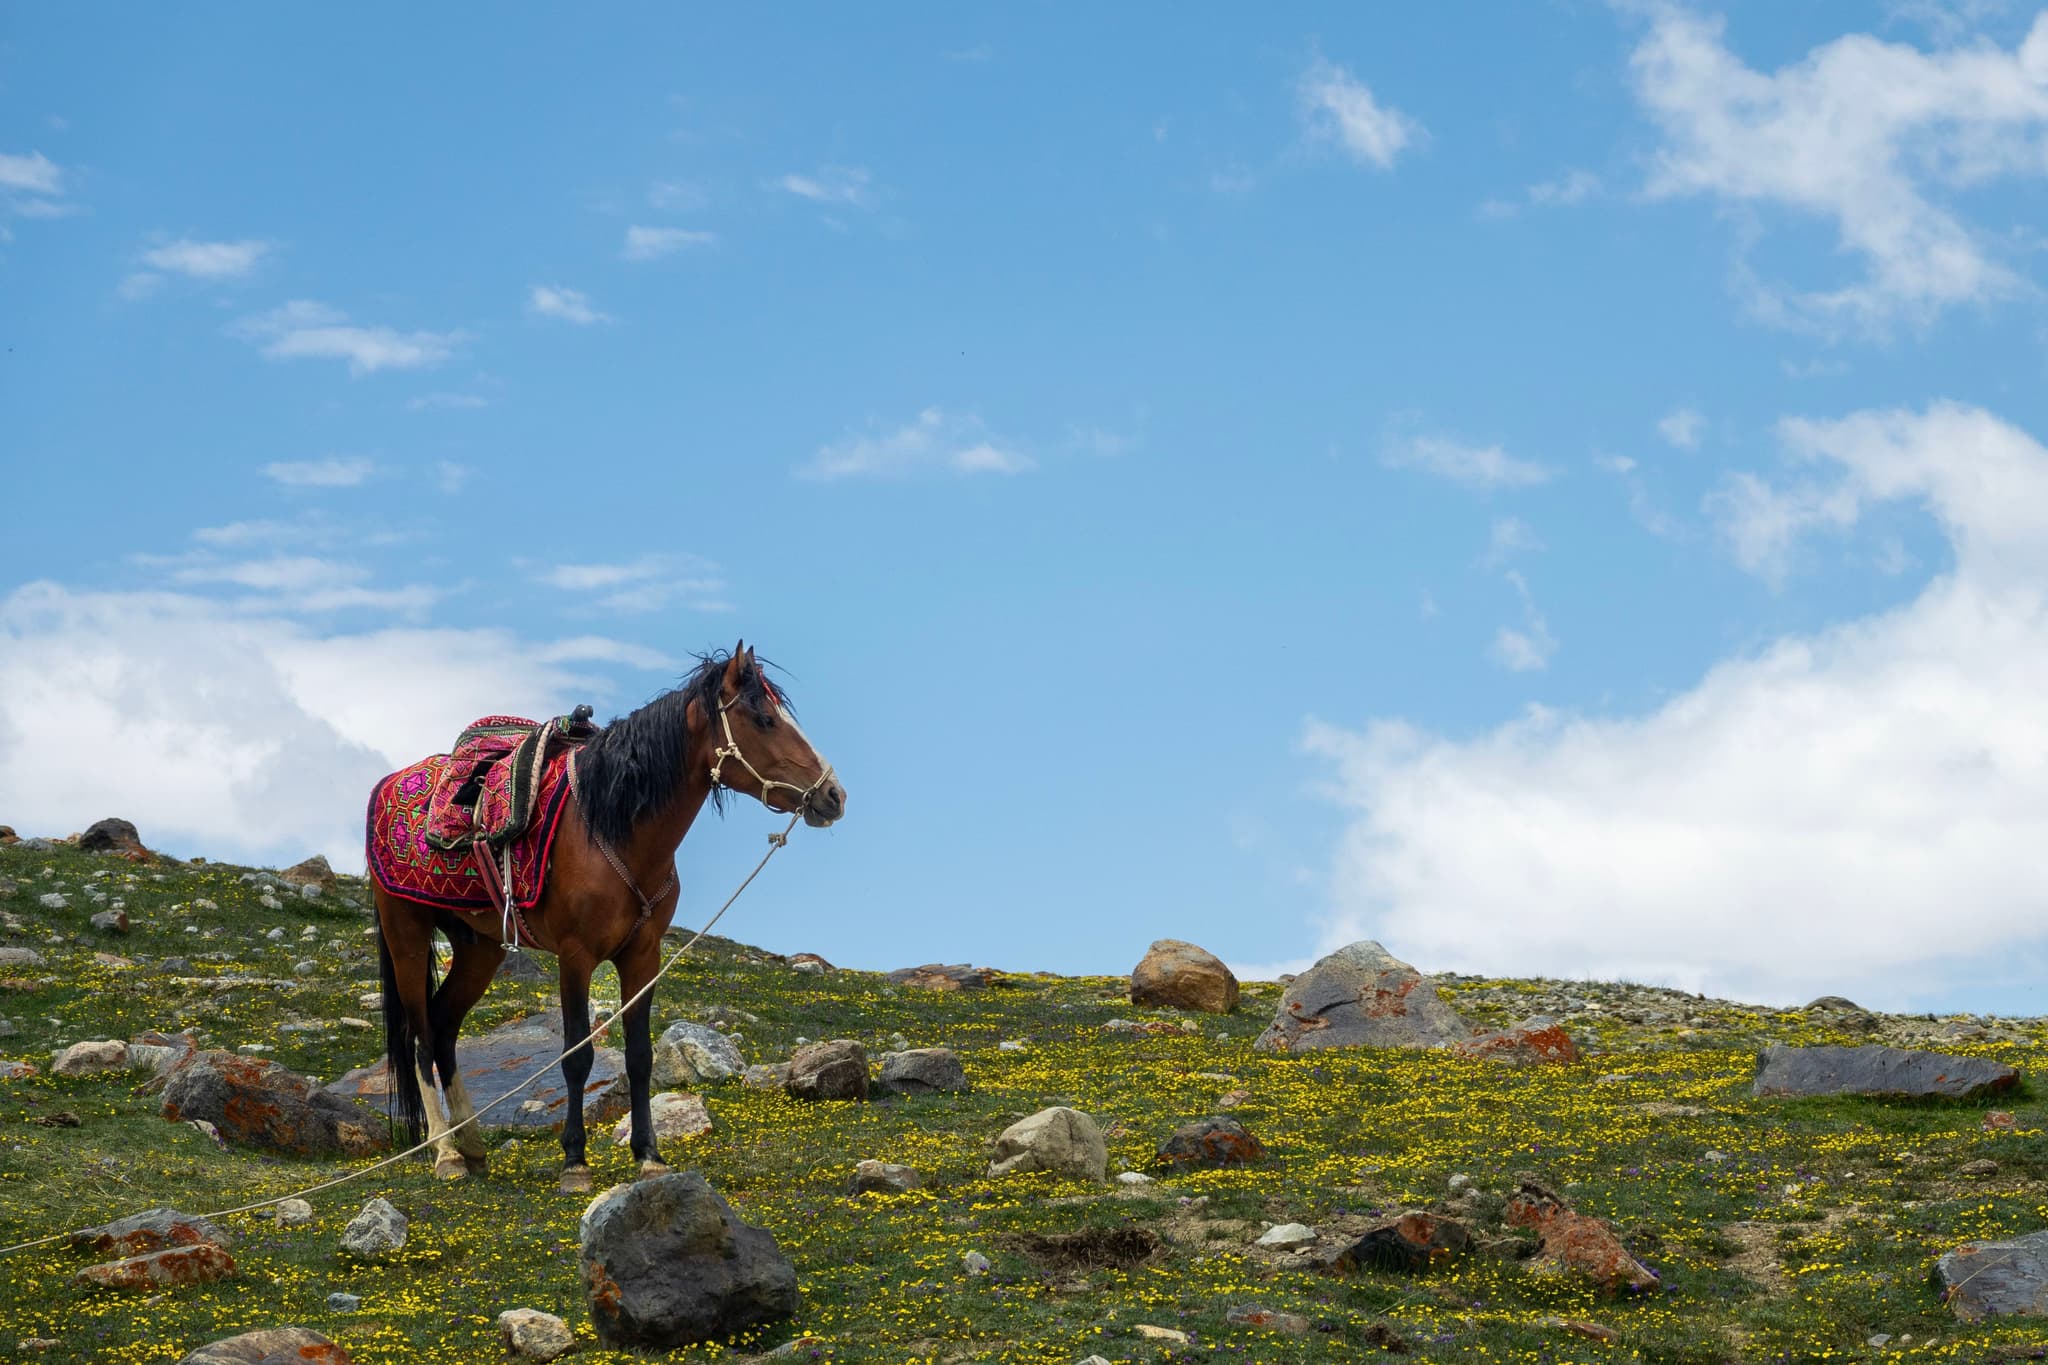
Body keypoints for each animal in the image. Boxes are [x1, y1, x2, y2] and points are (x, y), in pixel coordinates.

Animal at [370, 646, 847, 1186]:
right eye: (765, 720)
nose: (834, 796)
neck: (613, 827)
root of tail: (387, 785)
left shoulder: (643, 956)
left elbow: (640, 1057)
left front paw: (648, 1154)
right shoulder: (575, 957)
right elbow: (577, 1055)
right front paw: (575, 1161)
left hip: (479, 948)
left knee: (445, 1028)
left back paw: (471, 1146)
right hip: (407, 935)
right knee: (420, 1037)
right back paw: (447, 1153)